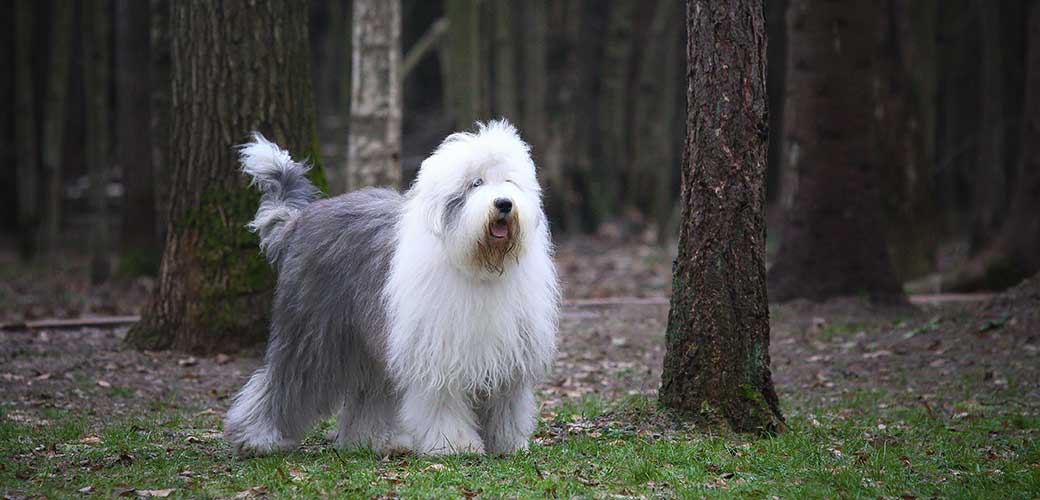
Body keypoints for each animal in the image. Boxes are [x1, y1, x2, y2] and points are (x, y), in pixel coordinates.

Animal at [222, 119, 557, 453]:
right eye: (476, 183)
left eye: (509, 181)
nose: (504, 203)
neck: (477, 265)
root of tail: (300, 218)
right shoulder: (437, 353)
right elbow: (443, 403)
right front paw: (455, 445)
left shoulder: (506, 353)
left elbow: (506, 403)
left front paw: (508, 444)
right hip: (313, 331)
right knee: (284, 380)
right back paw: (258, 437)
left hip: (367, 340)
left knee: (367, 391)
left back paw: (371, 440)